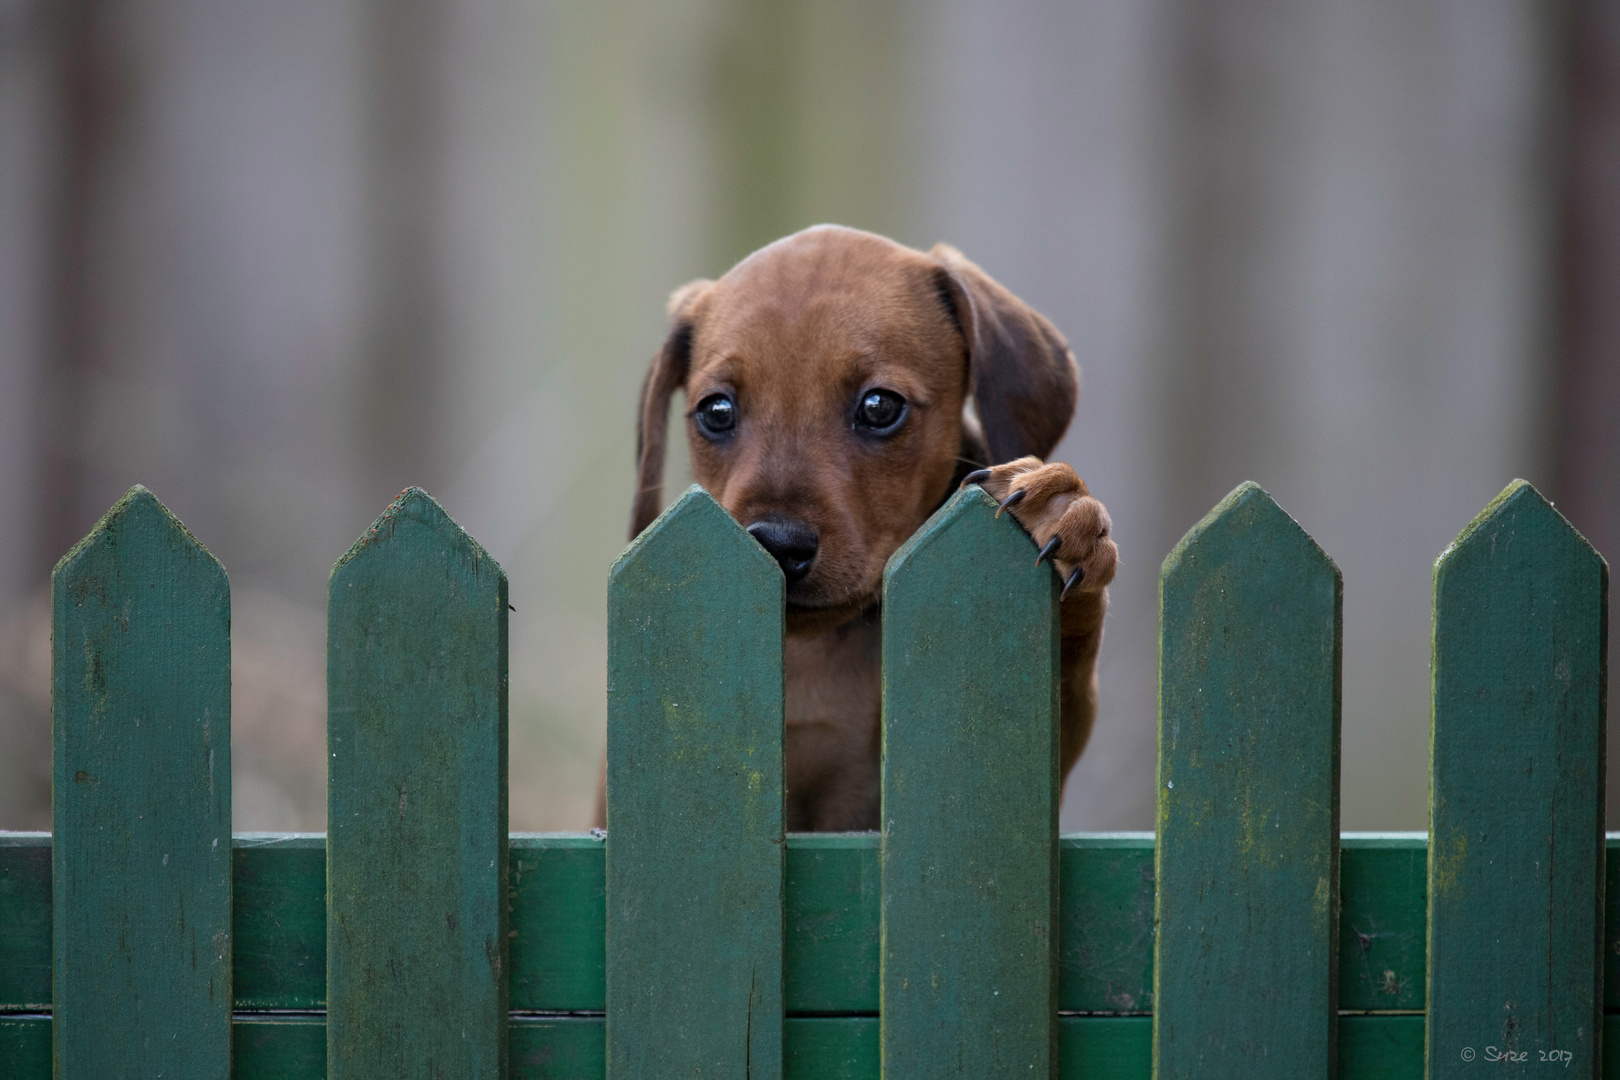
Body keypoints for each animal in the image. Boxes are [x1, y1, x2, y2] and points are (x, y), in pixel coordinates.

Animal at [609, 228, 1114, 835]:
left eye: (879, 406)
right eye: (717, 411)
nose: (777, 544)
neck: (825, 650)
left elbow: (1068, 667)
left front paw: (1057, 511)